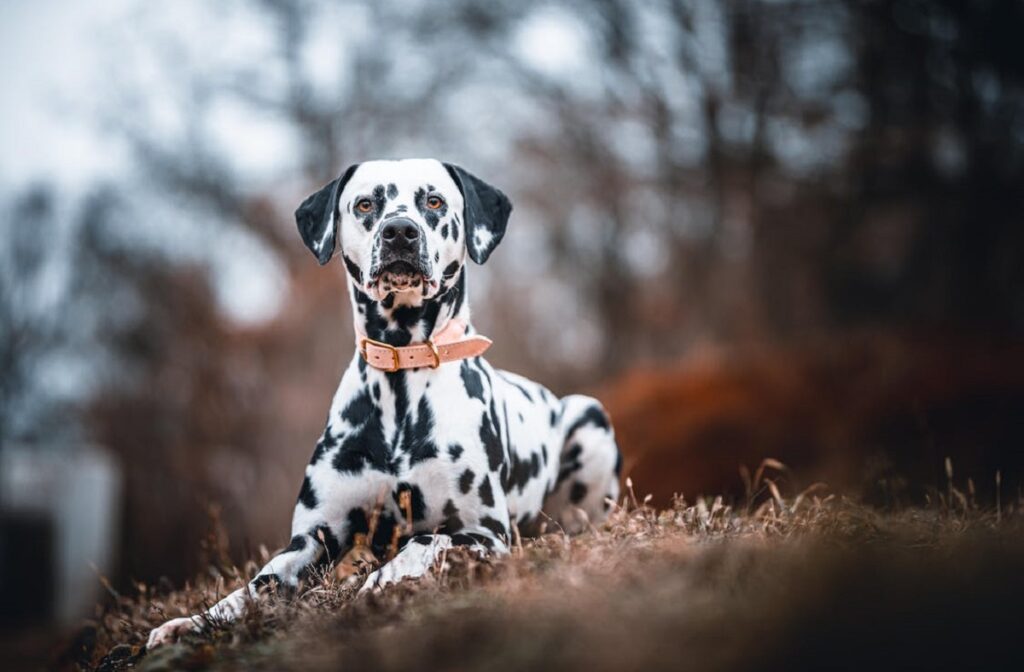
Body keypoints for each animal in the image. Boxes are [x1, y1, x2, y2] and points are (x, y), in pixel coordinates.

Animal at [147, 159, 618, 647]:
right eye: (365, 204)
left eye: (434, 201)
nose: (399, 231)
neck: (401, 377)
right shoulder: (313, 538)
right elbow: (256, 585)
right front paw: (193, 622)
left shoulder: (484, 533)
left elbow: (422, 542)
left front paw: (379, 583)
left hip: (589, 418)